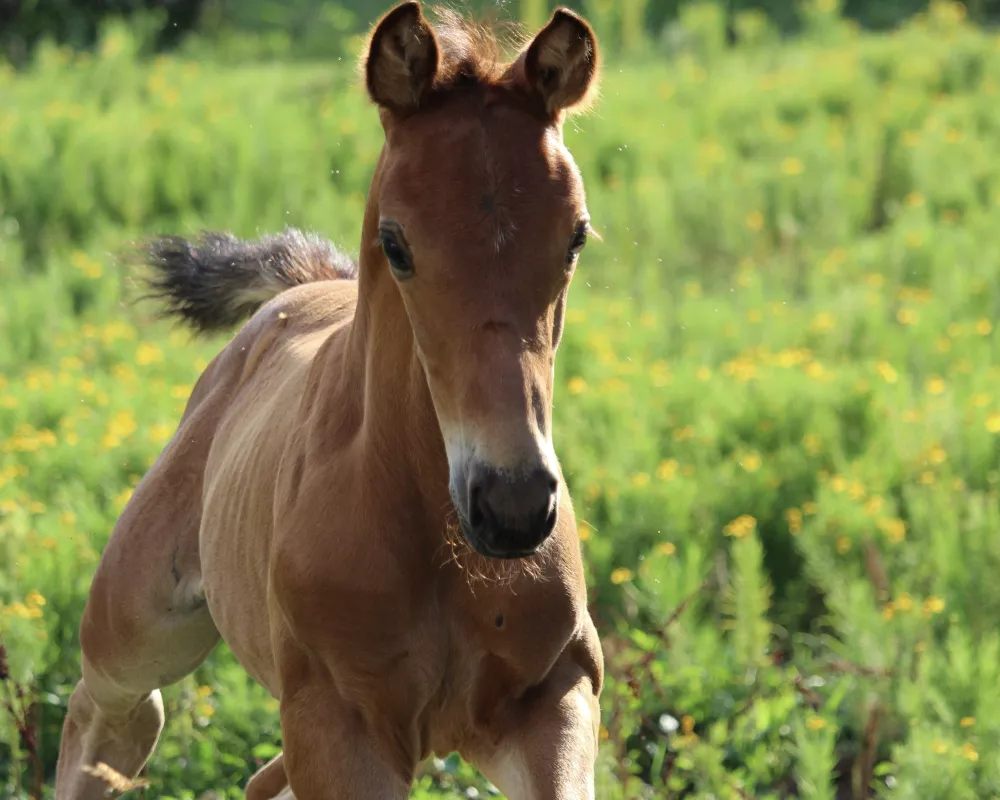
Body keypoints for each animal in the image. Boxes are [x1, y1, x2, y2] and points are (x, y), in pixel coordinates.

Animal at [54, 3, 604, 796]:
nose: (513, 505)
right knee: (112, 712)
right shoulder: (336, 722)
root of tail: (307, 286)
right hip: (137, 622)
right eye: (396, 243)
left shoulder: (556, 691)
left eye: (575, 238)